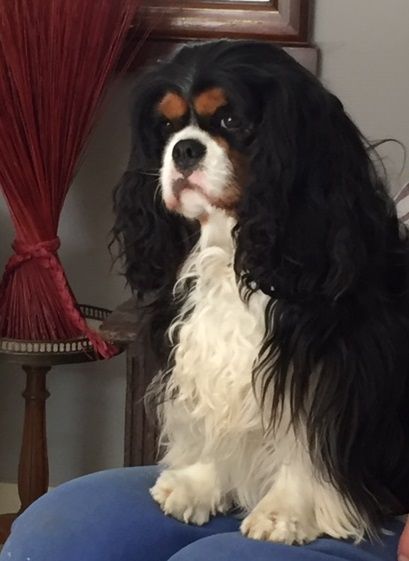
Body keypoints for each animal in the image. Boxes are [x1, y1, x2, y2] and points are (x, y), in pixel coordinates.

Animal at [113, 40, 409, 544]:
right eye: (167, 126)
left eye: (232, 120)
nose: (184, 149)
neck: (233, 249)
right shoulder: (205, 345)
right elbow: (215, 408)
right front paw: (199, 484)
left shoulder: (326, 363)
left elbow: (305, 439)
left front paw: (286, 512)